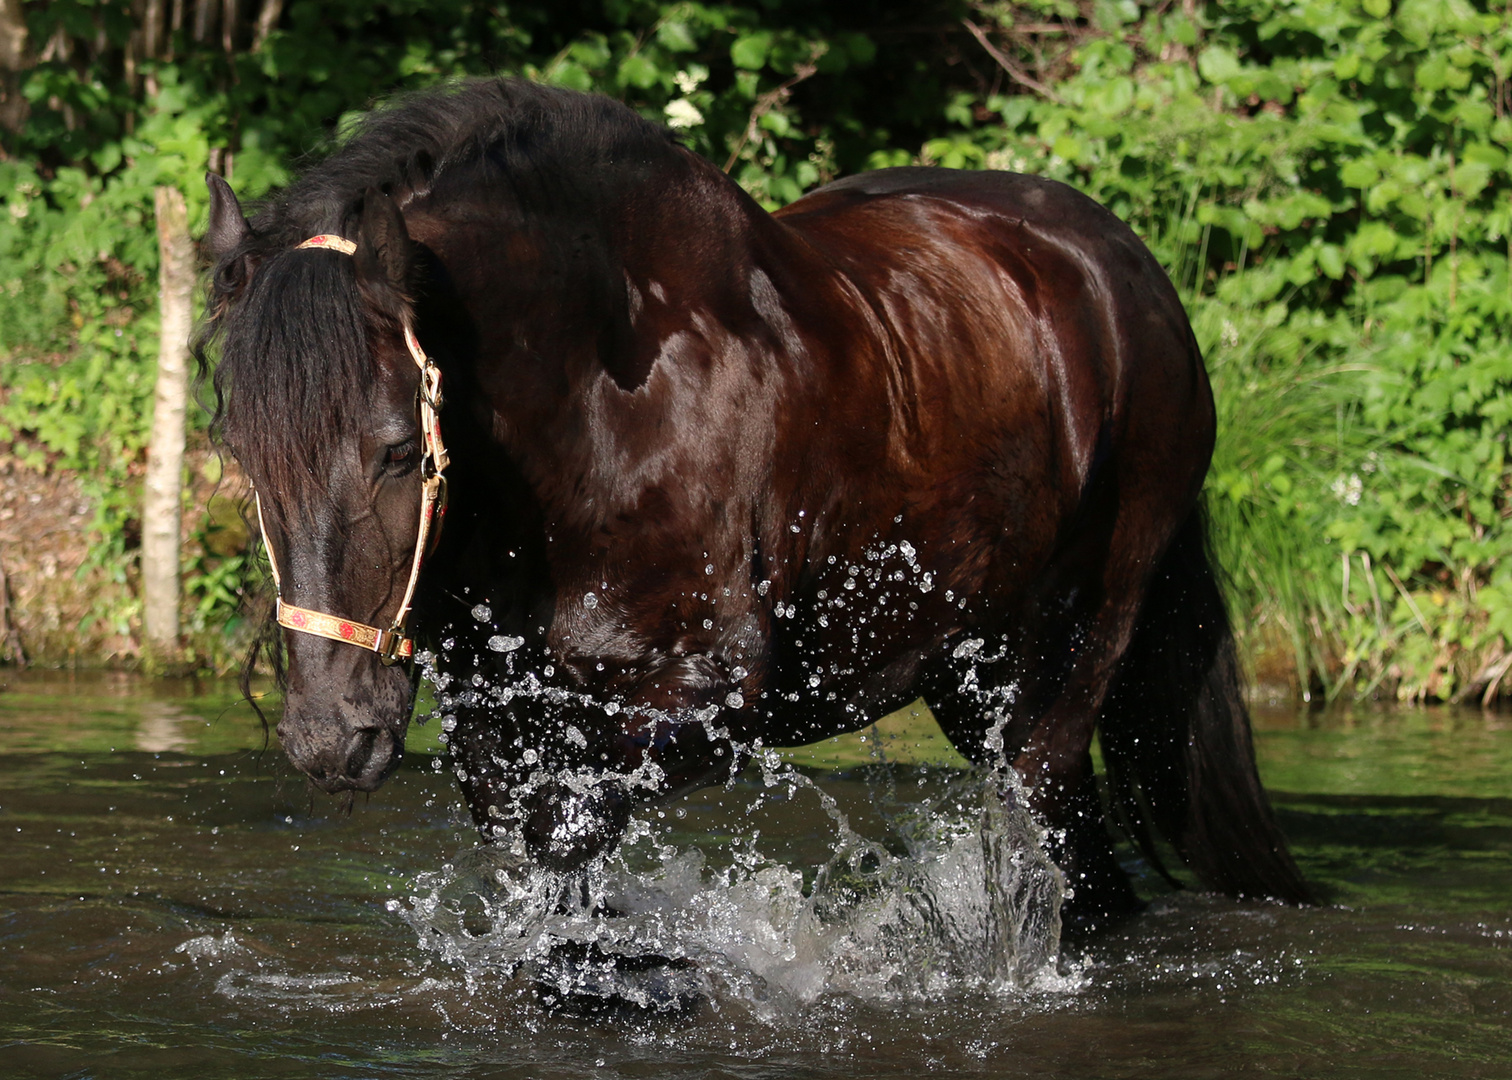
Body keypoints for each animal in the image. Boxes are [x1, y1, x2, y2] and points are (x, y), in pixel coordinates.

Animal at [198, 77, 1312, 919]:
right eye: (245, 456)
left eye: (396, 452)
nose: (328, 739)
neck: (601, 415)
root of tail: (1129, 275)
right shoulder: (501, 717)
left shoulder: (712, 701)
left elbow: (571, 828)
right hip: (977, 665)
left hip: (1082, 646)